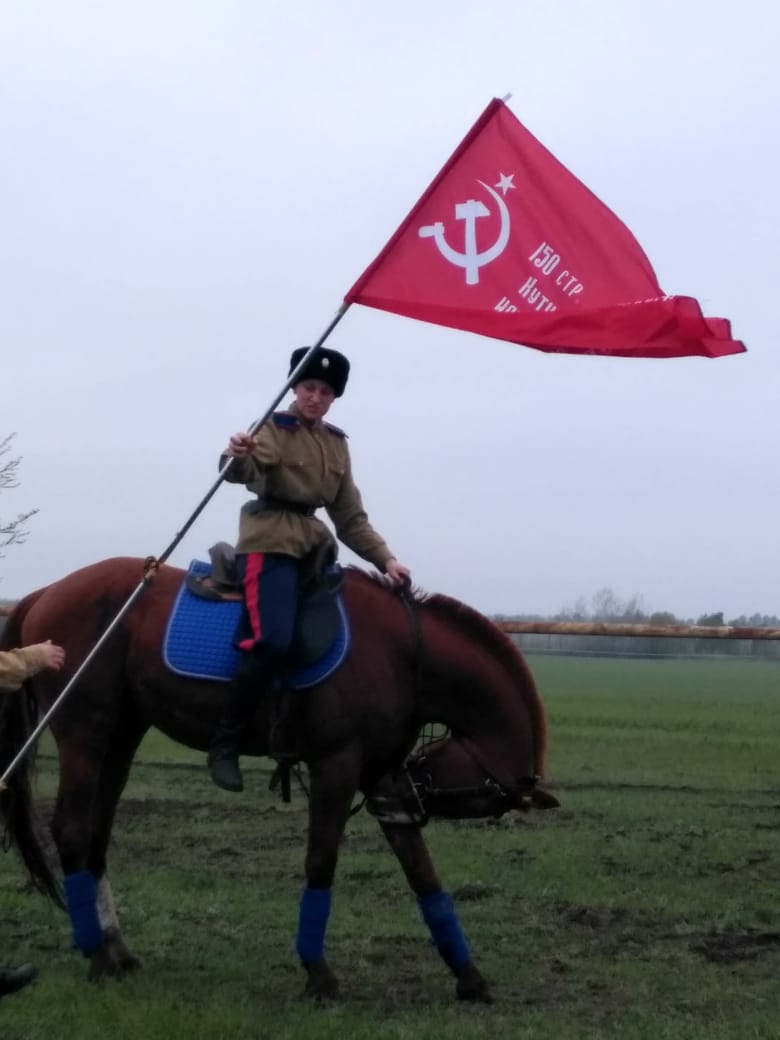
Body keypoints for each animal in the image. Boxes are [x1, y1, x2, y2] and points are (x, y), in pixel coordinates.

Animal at [0, 556, 557, 1002]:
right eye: (476, 800)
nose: (409, 803)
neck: (401, 650)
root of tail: (46, 592)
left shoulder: (381, 775)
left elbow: (423, 875)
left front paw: (469, 976)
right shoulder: (336, 766)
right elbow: (321, 863)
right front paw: (319, 975)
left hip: (120, 737)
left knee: (96, 837)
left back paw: (115, 949)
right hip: (85, 734)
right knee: (73, 833)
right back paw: (96, 956)